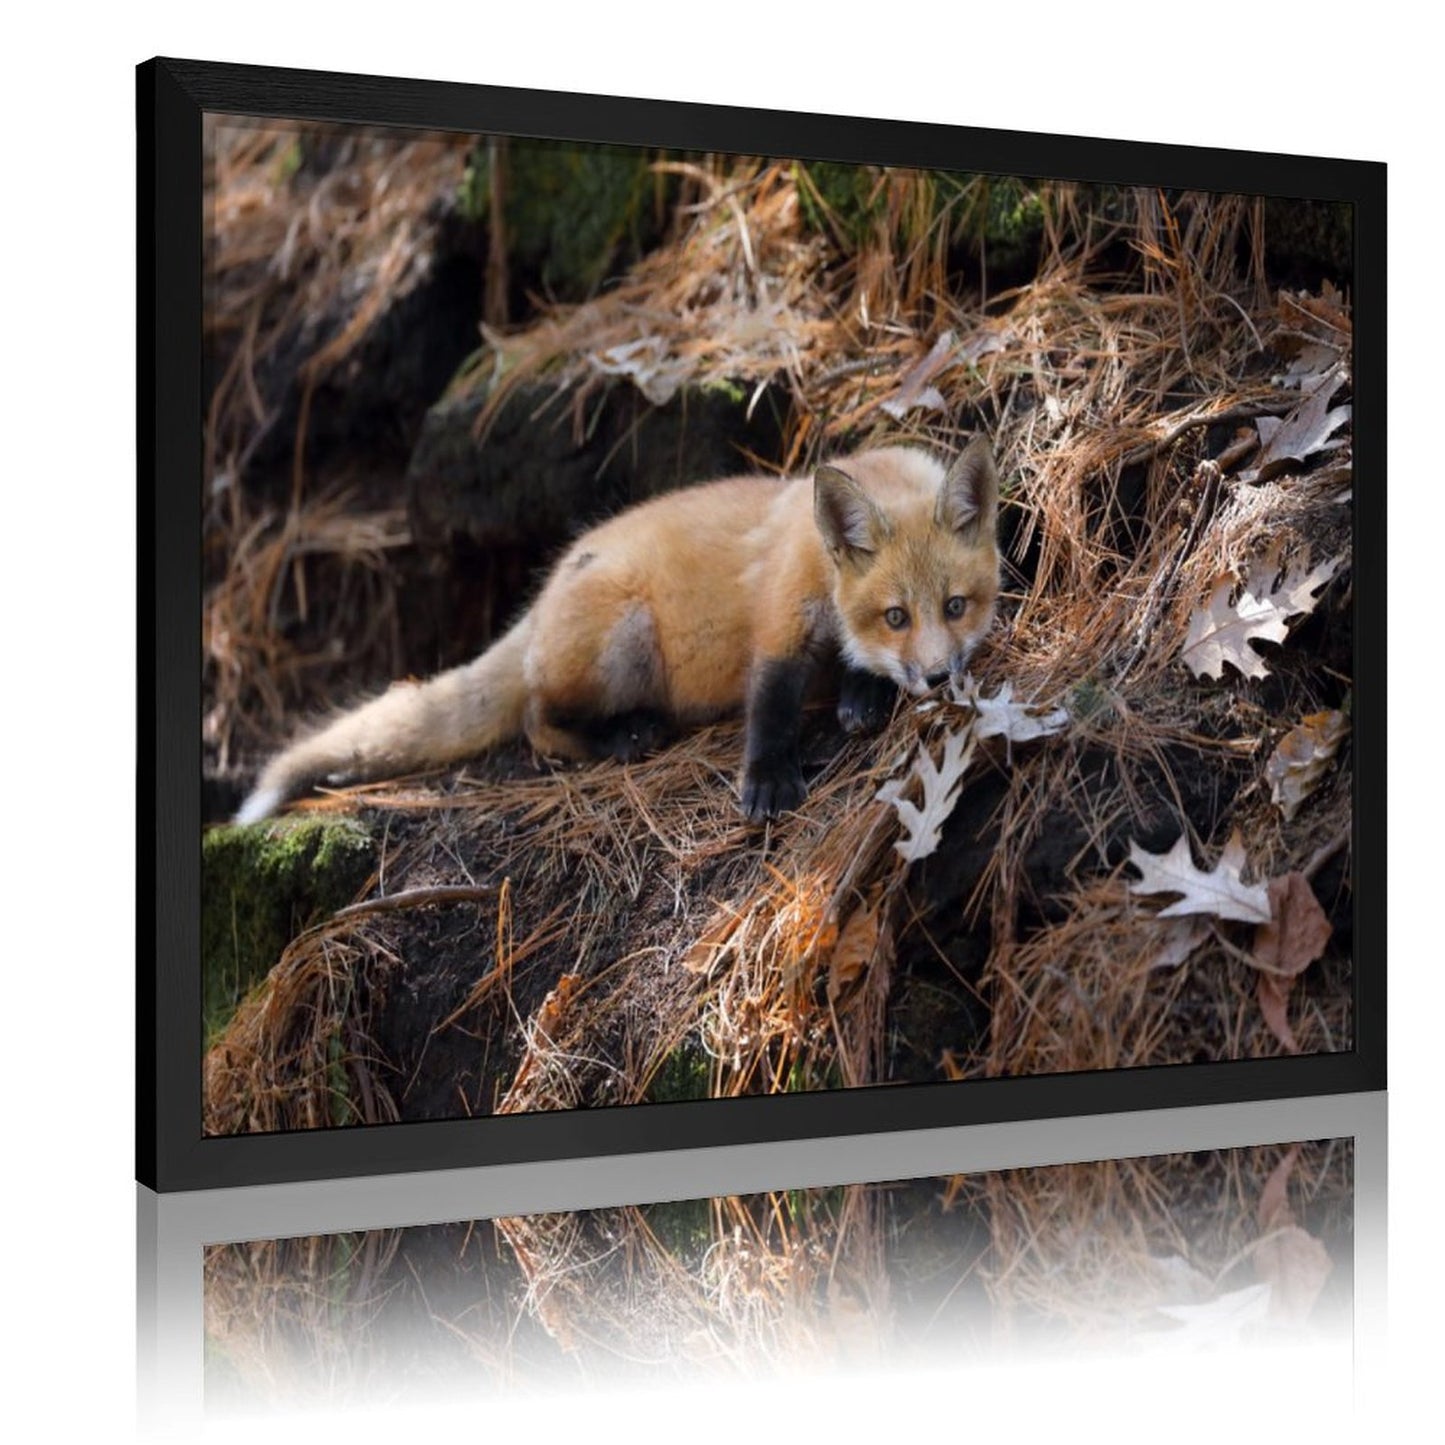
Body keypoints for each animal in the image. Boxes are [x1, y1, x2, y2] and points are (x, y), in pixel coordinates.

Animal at [234, 436, 1001, 826]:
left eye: (955, 605)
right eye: (896, 615)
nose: (939, 677)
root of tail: (538, 602)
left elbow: (859, 670)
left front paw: (862, 694)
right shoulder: (781, 624)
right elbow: (771, 706)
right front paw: (765, 781)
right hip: (624, 637)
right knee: (537, 722)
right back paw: (622, 735)